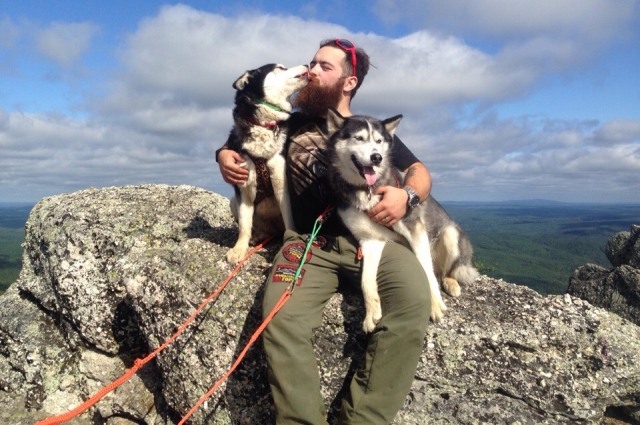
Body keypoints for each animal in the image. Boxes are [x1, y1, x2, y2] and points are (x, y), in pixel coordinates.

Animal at [224, 63, 308, 264]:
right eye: (280, 68)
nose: (307, 64)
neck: (263, 125)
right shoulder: (243, 187)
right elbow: (244, 226)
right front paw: (239, 250)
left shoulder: (281, 183)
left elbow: (290, 222)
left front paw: (290, 240)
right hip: (233, 202)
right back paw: (258, 236)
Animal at [324, 107, 480, 330]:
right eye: (359, 138)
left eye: (379, 140)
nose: (377, 157)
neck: (367, 191)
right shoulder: (370, 240)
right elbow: (366, 281)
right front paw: (371, 314)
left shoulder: (415, 229)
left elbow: (426, 271)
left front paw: (435, 305)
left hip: (450, 234)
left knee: (444, 271)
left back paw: (451, 283)